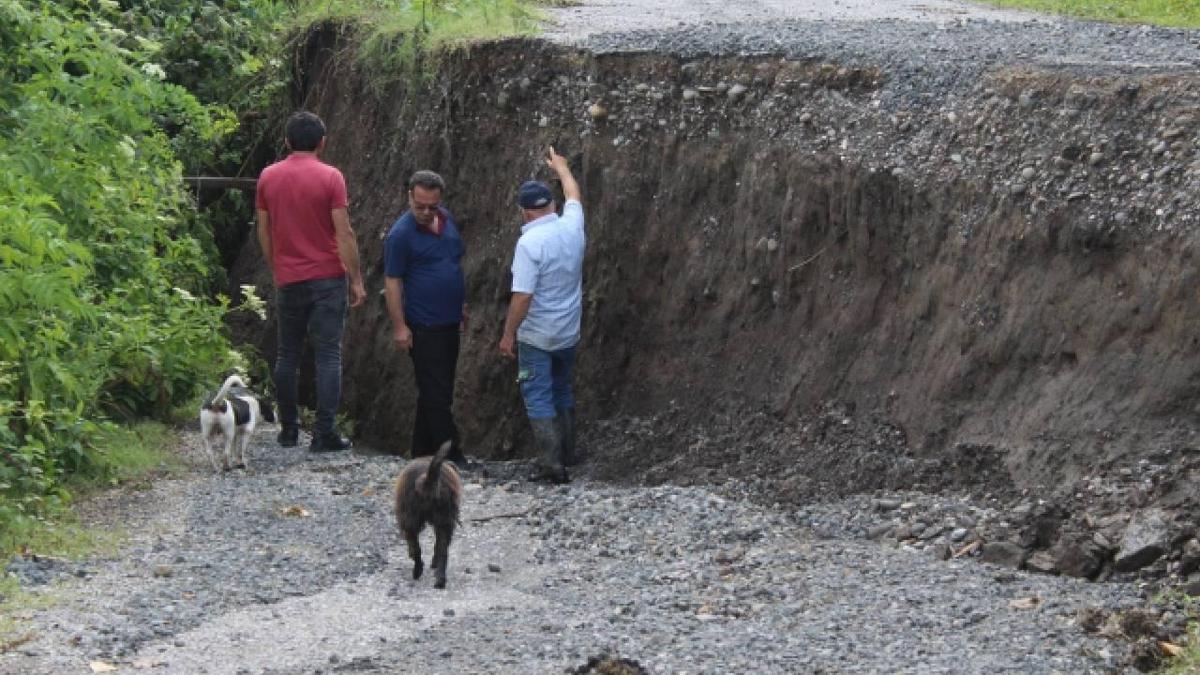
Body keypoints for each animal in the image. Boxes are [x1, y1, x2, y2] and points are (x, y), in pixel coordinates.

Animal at [398, 439, 463, 586]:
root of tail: (427, 480)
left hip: (410, 517)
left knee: (416, 548)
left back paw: (417, 572)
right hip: (444, 518)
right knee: (443, 550)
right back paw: (440, 580)